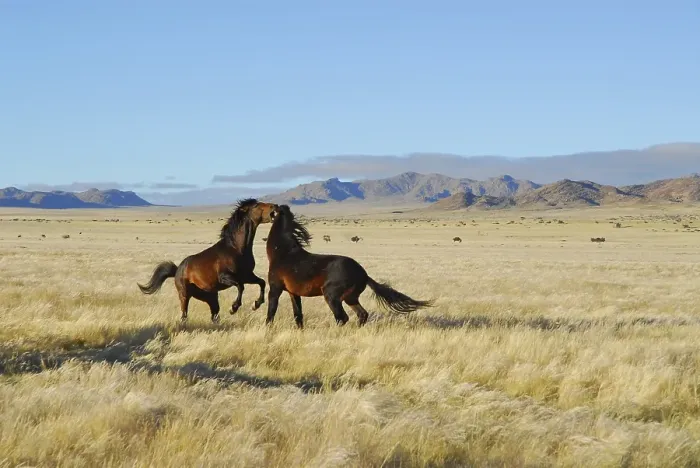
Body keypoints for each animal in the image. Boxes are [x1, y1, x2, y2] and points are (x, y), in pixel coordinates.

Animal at [137, 199, 279, 323]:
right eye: (256, 205)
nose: (275, 206)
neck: (236, 248)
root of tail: (177, 270)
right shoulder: (226, 277)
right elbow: (240, 286)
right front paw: (233, 308)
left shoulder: (247, 275)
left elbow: (261, 282)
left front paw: (256, 304)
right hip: (184, 295)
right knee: (184, 315)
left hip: (210, 298)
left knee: (214, 316)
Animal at [264, 205, 433, 328]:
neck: (284, 253)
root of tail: (363, 274)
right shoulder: (294, 293)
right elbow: (298, 315)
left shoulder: (275, 288)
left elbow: (271, 312)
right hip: (350, 298)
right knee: (362, 314)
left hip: (332, 296)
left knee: (342, 318)